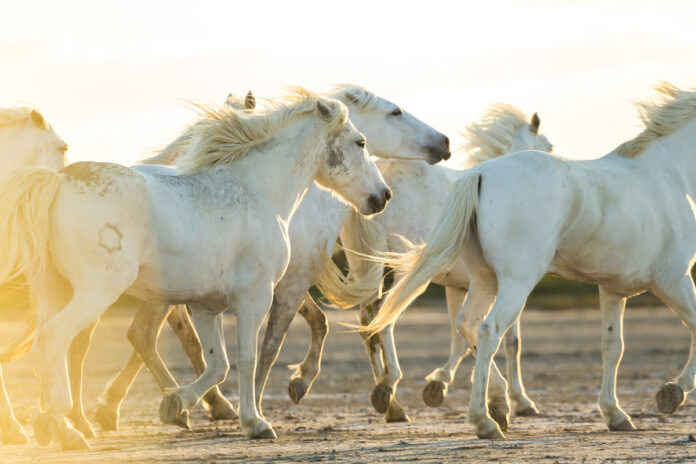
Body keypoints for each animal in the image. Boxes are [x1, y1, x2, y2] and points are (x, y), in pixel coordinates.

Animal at [0, 89, 390, 450]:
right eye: (360, 142)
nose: (382, 196)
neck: (256, 190)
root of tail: (57, 182)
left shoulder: (205, 306)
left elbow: (218, 365)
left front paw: (175, 404)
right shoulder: (255, 297)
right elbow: (248, 358)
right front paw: (255, 422)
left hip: (56, 292)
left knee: (49, 344)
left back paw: (61, 426)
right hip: (96, 293)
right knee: (55, 340)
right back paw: (63, 425)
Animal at [93, 84, 451, 430]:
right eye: (396, 111)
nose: (444, 142)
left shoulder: (285, 283)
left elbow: (321, 324)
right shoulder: (285, 286)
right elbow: (270, 348)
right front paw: (260, 406)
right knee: (141, 335)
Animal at [334, 104, 551, 424]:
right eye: (550, 147)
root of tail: (380, 186)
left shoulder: (458, 287)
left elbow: (461, 337)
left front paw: (439, 386)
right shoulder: (506, 286)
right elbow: (509, 342)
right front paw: (519, 401)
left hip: (370, 268)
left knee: (367, 320)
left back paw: (389, 402)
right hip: (404, 273)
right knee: (382, 315)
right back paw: (389, 384)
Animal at [364, 82, 696, 440]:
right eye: (549, 144)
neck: (666, 175)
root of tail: (479, 174)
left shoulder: (612, 289)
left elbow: (612, 347)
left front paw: (615, 414)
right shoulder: (674, 281)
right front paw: (672, 392)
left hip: (485, 281)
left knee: (460, 325)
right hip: (513, 284)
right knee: (481, 330)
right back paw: (482, 419)